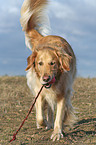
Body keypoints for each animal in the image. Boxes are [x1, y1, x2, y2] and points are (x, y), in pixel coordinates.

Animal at [20, 0, 76, 141]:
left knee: (53, 109)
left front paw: (57, 132)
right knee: (48, 109)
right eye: (40, 63)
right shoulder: (39, 92)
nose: (46, 79)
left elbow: (59, 115)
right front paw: (43, 124)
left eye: (53, 63)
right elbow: (40, 115)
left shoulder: (63, 93)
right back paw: (47, 123)